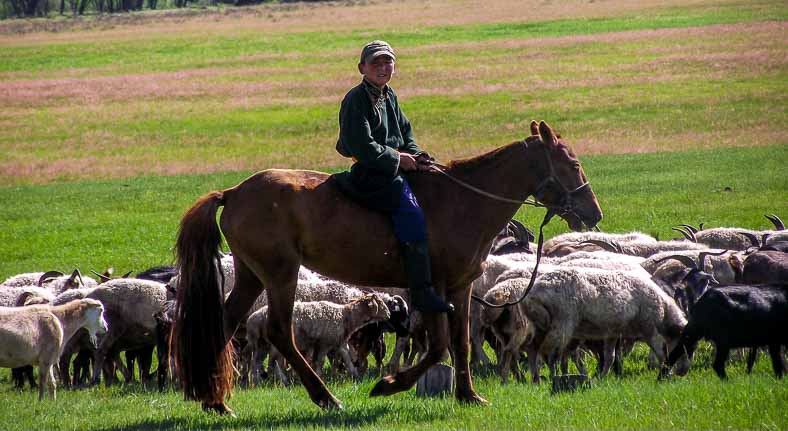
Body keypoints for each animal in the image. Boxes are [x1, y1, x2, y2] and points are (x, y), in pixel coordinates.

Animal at [248, 296, 390, 384]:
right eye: (380, 303)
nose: (389, 314)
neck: (345, 316)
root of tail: (255, 317)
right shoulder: (324, 343)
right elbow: (320, 362)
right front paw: (320, 376)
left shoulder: (337, 342)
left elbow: (347, 358)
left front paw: (355, 375)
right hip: (273, 343)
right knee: (274, 360)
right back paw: (281, 380)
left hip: (261, 343)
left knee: (256, 362)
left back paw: (256, 382)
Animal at [524, 266, 688, 382]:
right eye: (685, 345)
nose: (683, 372)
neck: (664, 310)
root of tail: (532, 294)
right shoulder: (650, 328)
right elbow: (661, 353)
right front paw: (666, 375)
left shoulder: (613, 332)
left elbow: (610, 357)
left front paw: (602, 378)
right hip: (563, 322)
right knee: (551, 353)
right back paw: (553, 377)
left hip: (540, 325)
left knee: (534, 349)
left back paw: (536, 379)